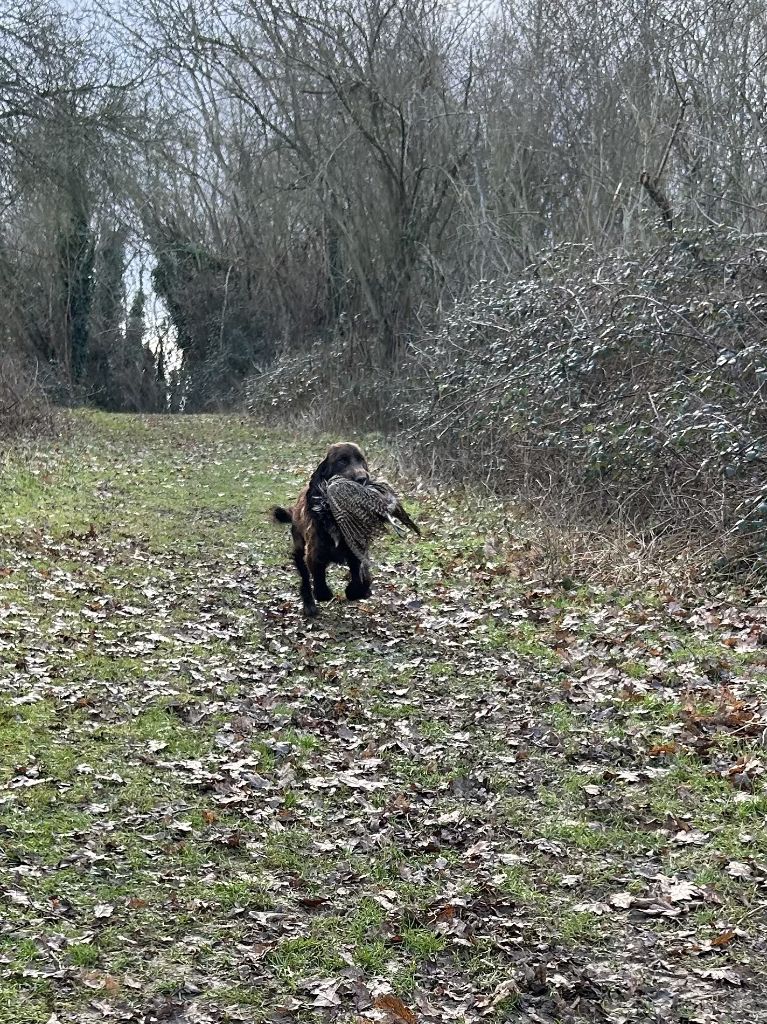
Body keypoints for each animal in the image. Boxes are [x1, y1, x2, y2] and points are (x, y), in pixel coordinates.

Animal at [274, 442, 372, 614]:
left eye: (361, 460)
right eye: (342, 461)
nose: (362, 479)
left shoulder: (358, 553)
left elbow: (362, 577)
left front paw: (355, 591)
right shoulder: (313, 553)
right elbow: (319, 583)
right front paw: (323, 594)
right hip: (299, 549)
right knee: (305, 579)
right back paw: (309, 605)